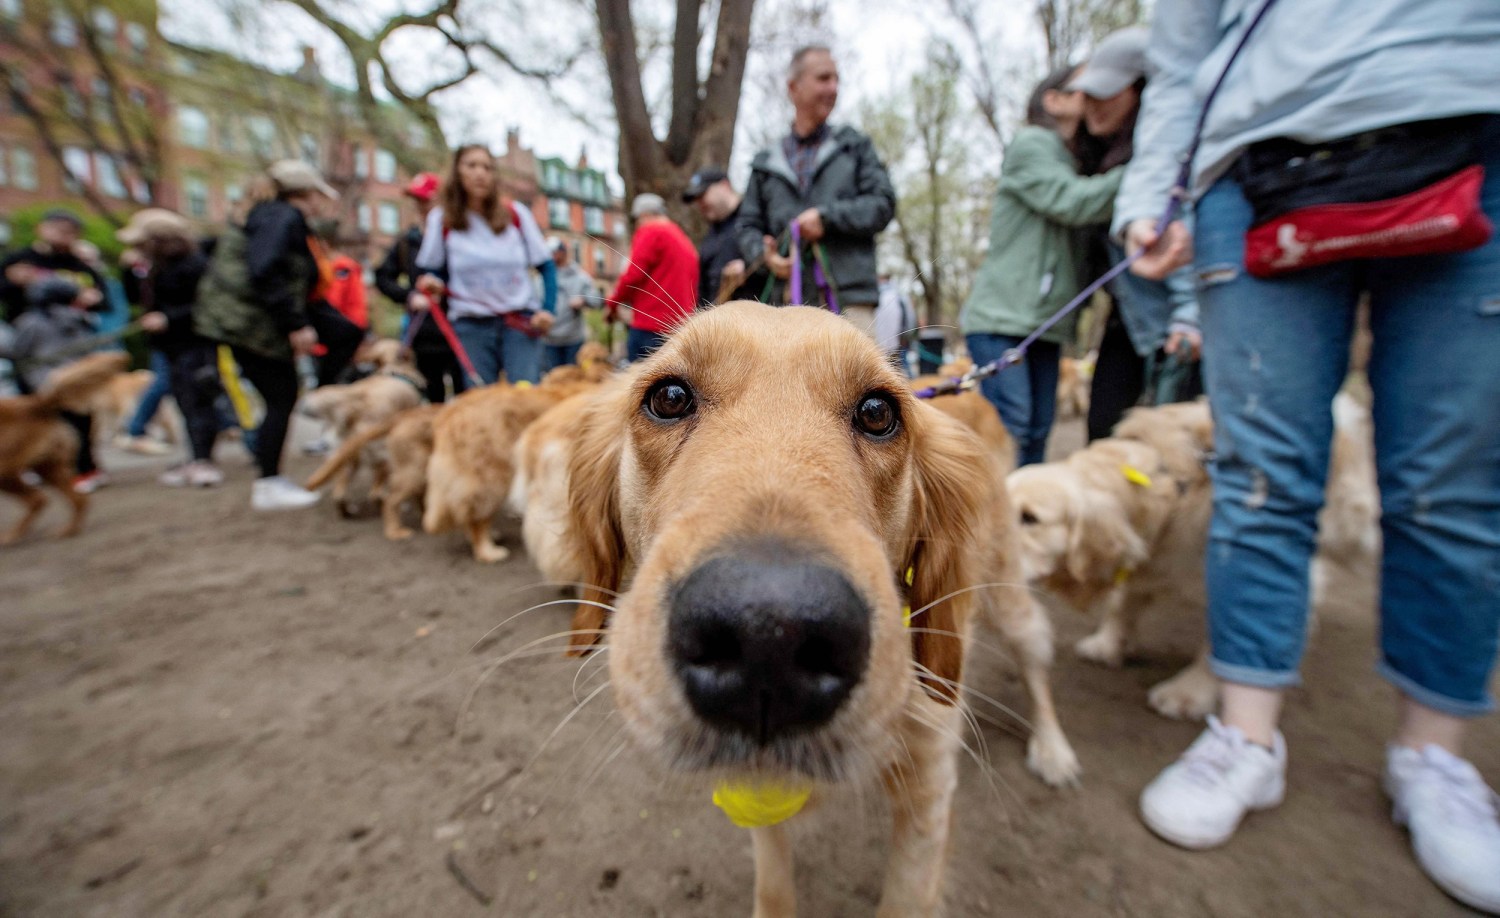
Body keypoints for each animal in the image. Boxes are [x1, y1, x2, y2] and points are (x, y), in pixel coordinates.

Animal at [0, 352, 127, 540]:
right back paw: (67, 529)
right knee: (71, 500)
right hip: (46, 467)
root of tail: (37, 404)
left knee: (39, 499)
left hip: (8, 470)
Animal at [558, 303, 1074, 918]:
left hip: (1007, 596)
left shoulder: (929, 790)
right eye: (670, 397)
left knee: (1036, 659)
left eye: (878, 412)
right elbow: (774, 886)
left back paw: (1054, 748)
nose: (768, 636)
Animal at [1008, 393, 1374, 717]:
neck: (1169, 480)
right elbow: (1124, 603)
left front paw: (1189, 693)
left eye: (1030, 518)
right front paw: (1108, 644)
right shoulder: (1150, 552)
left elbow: (1224, 640)